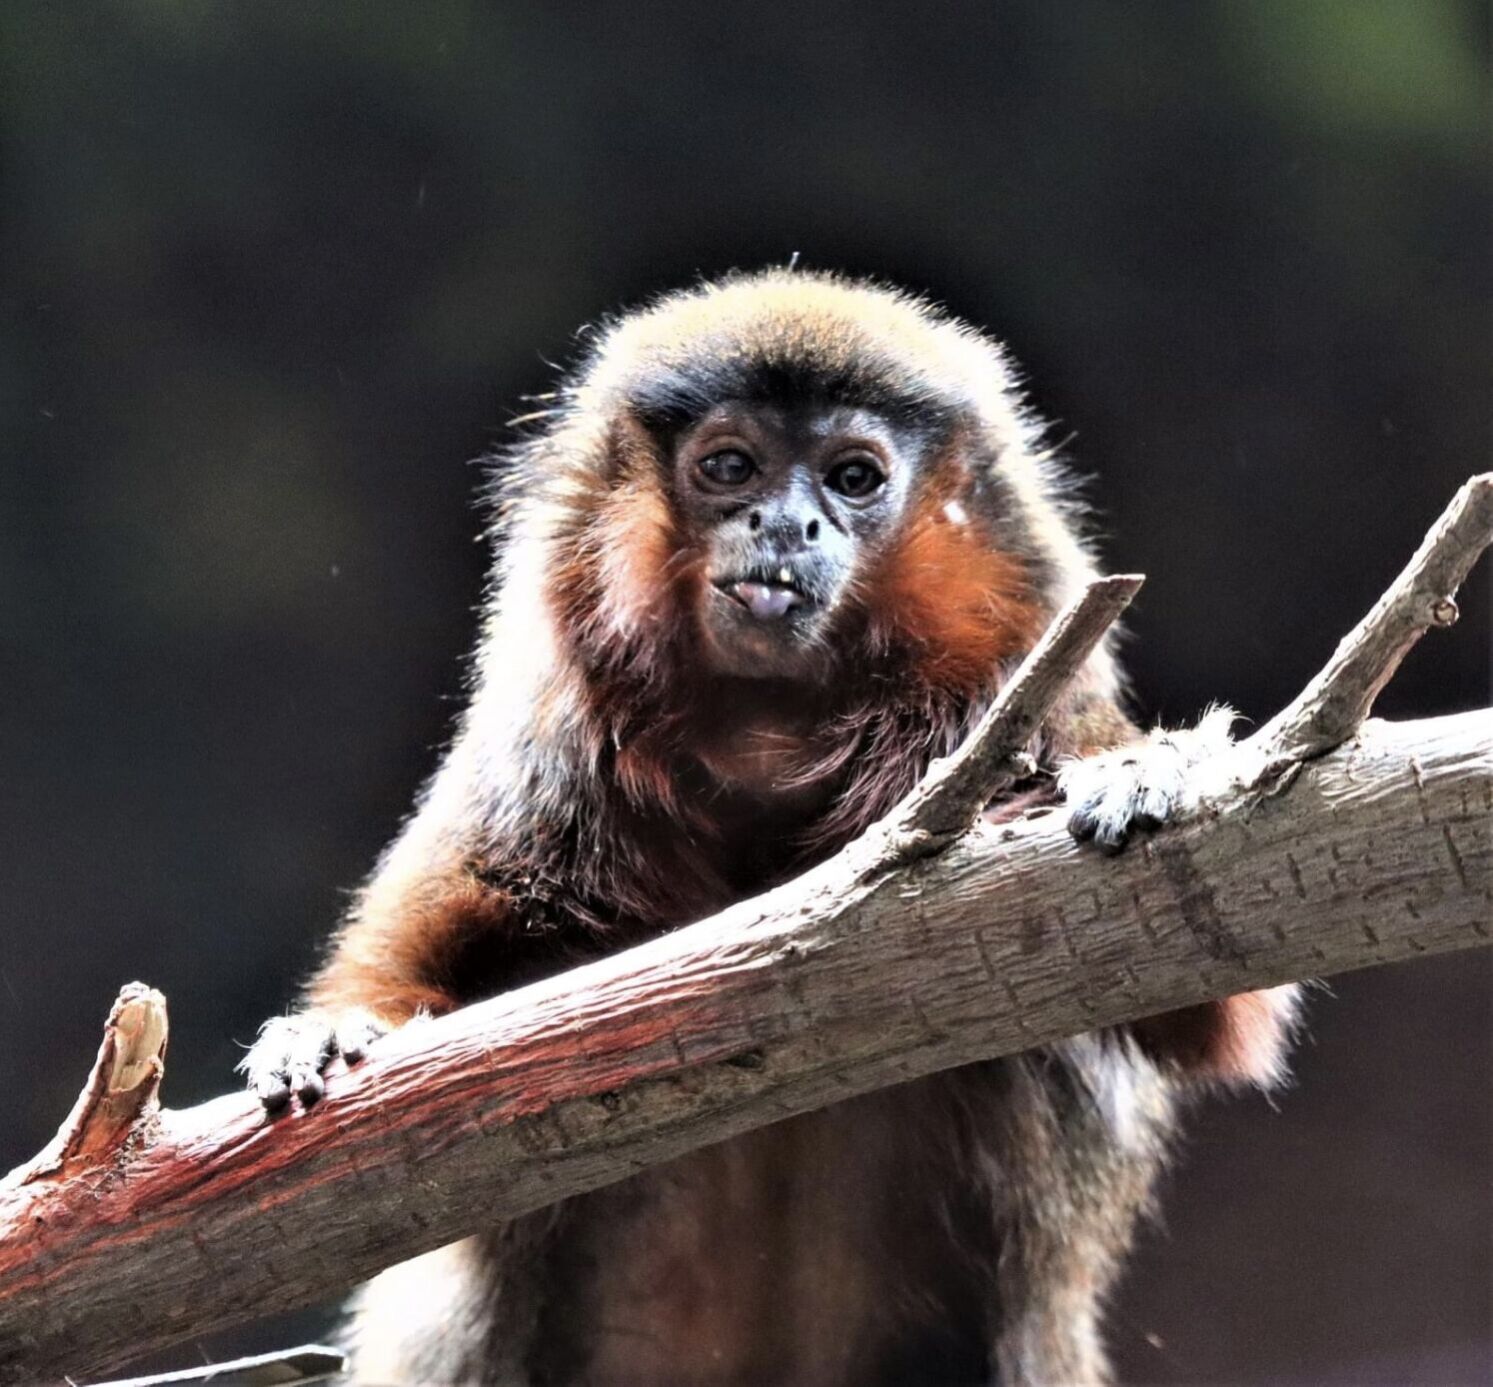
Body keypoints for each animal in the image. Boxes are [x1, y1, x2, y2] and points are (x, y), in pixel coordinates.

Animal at [242, 268, 1300, 1386]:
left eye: (851, 478)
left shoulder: (1040, 692)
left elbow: (1212, 1003)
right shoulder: (544, 764)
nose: (787, 526)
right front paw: (334, 1035)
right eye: (730, 466)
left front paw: (1150, 776)